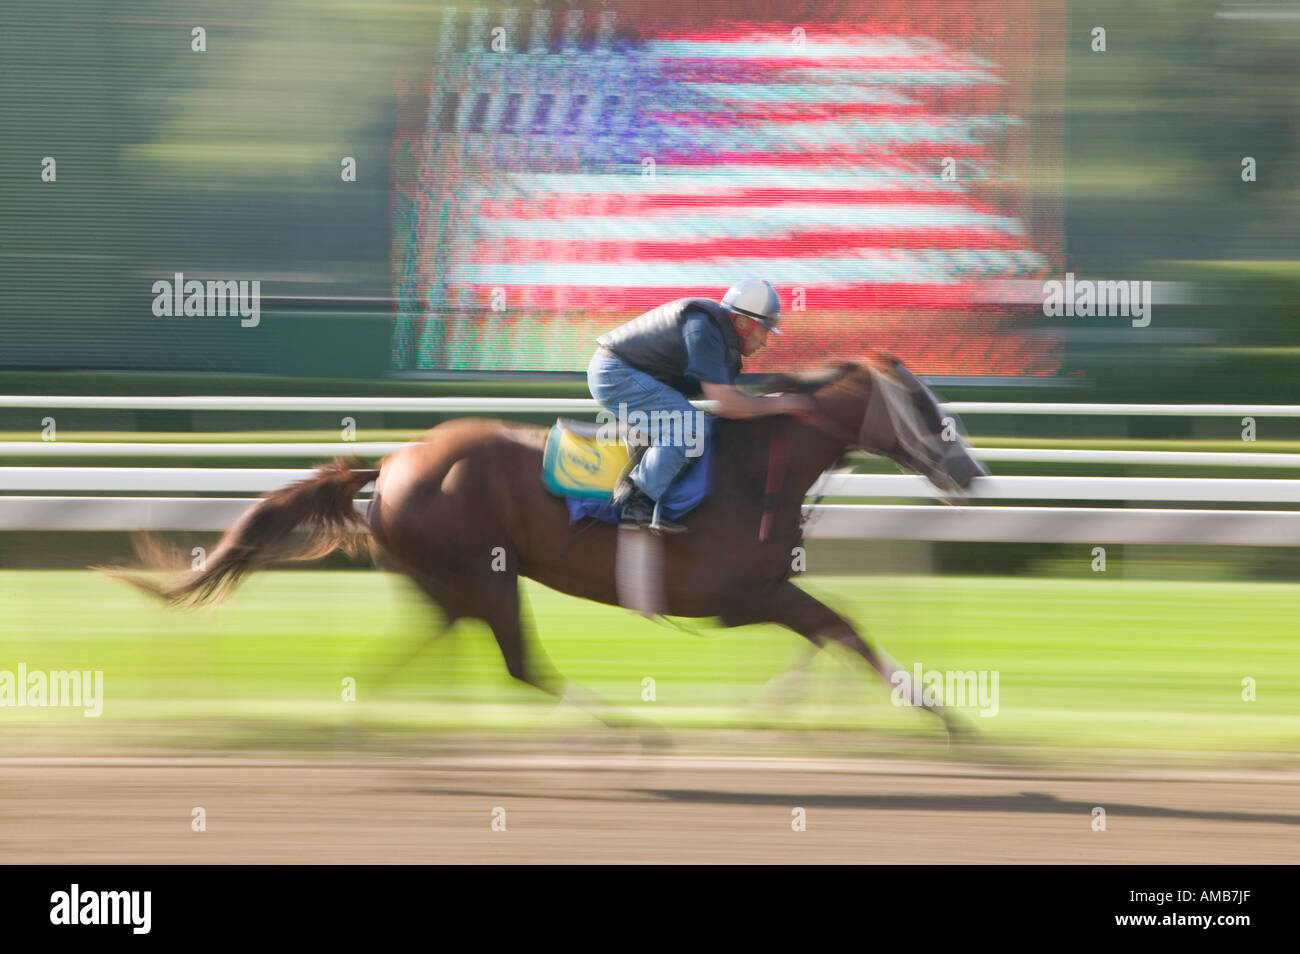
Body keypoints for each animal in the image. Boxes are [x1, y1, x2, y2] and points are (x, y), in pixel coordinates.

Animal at [111, 358, 982, 738]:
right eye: (924, 405)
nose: (971, 473)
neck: (756, 470)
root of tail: (391, 463)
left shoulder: (754, 598)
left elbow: (838, 626)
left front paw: (788, 705)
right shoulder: (744, 595)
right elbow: (844, 625)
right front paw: (941, 715)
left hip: (447, 579)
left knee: (422, 646)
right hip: (484, 570)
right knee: (520, 661)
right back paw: (623, 737)